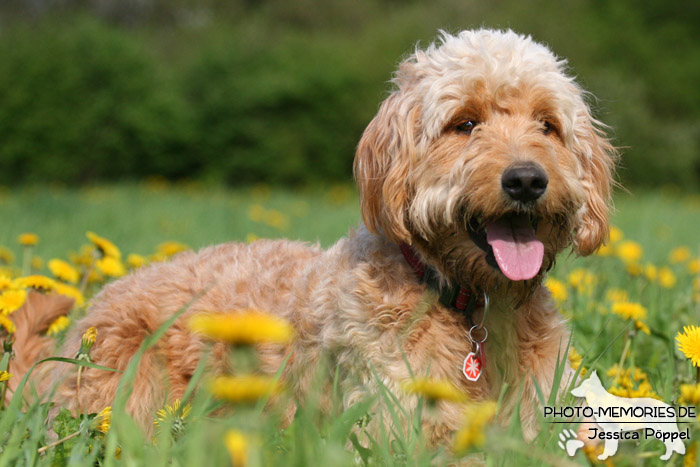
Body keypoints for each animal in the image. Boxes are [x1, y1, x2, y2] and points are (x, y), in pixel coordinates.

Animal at [9, 29, 612, 446]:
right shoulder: (391, 417)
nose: (527, 180)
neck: (472, 305)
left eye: (546, 124)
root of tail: (88, 313)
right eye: (464, 123)